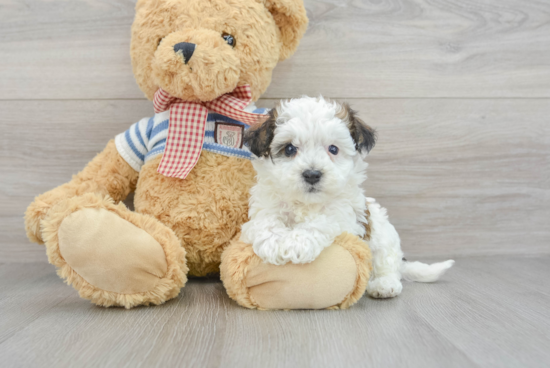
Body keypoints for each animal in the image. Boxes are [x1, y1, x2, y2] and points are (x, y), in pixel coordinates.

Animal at [244, 98, 454, 300]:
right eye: (289, 149)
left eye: (333, 149)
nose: (312, 174)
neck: (306, 203)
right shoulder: (266, 205)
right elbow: (266, 222)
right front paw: (273, 243)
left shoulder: (343, 216)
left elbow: (321, 222)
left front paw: (297, 243)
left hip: (384, 237)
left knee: (387, 264)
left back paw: (384, 285)